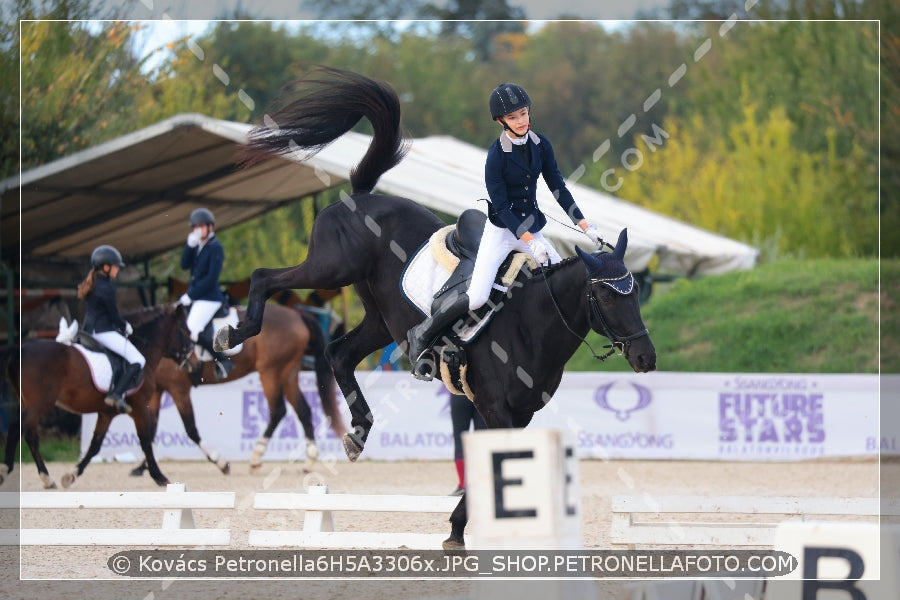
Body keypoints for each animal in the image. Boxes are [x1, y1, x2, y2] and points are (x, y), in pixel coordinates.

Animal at [0, 304, 192, 488]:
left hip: (30, 404)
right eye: (185, 331)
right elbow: (146, 441)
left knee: (31, 437)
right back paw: (5, 470)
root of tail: (21, 349)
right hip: (39, 403)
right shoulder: (140, 409)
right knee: (16, 429)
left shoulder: (107, 413)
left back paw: (47, 479)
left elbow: (95, 445)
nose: (190, 362)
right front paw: (159, 476)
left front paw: (72, 475)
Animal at [126, 304, 348, 478]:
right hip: (288, 374)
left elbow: (190, 429)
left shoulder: (178, 389)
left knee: (278, 410)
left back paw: (256, 457)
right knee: (303, 410)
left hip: (270, 372)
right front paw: (143, 467)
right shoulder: (157, 391)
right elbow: (150, 429)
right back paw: (309, 460)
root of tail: (297, 314)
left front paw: (220, 462)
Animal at [214, 65, 656, 548]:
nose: (646, 358)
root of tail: (363, 196)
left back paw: (359, 432)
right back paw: (231, 333)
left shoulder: (520, 413)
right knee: (265, 278)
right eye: (608, 295)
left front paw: (461, 528)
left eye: (635, 292)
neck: (533, 323)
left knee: (338, 353)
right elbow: (488, 469)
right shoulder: (496, 408)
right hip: (329, 268)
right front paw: (460, 530)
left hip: (379, 319)